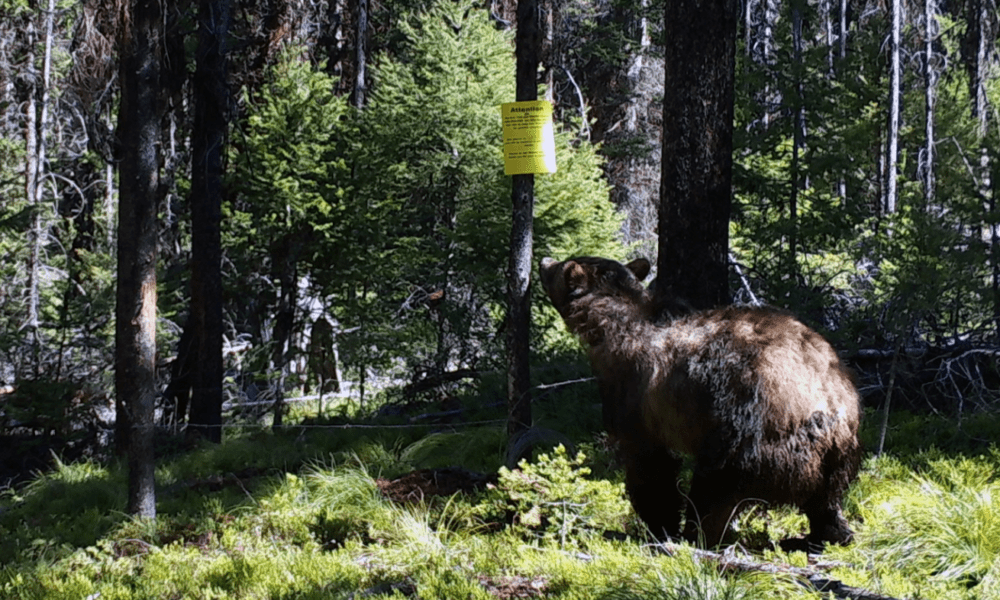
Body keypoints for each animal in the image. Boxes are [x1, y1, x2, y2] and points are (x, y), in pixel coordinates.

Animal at [538, 255, 862, 549]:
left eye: (559, 267)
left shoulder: (635, 393)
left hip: (748, 432)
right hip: (839, 452)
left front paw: (659, 523)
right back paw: (830, 533)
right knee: (827, 497)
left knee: (714, 488)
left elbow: (649, 462)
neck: (614, 326)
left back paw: (699, 534)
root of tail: (824, 407)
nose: (543, 260)